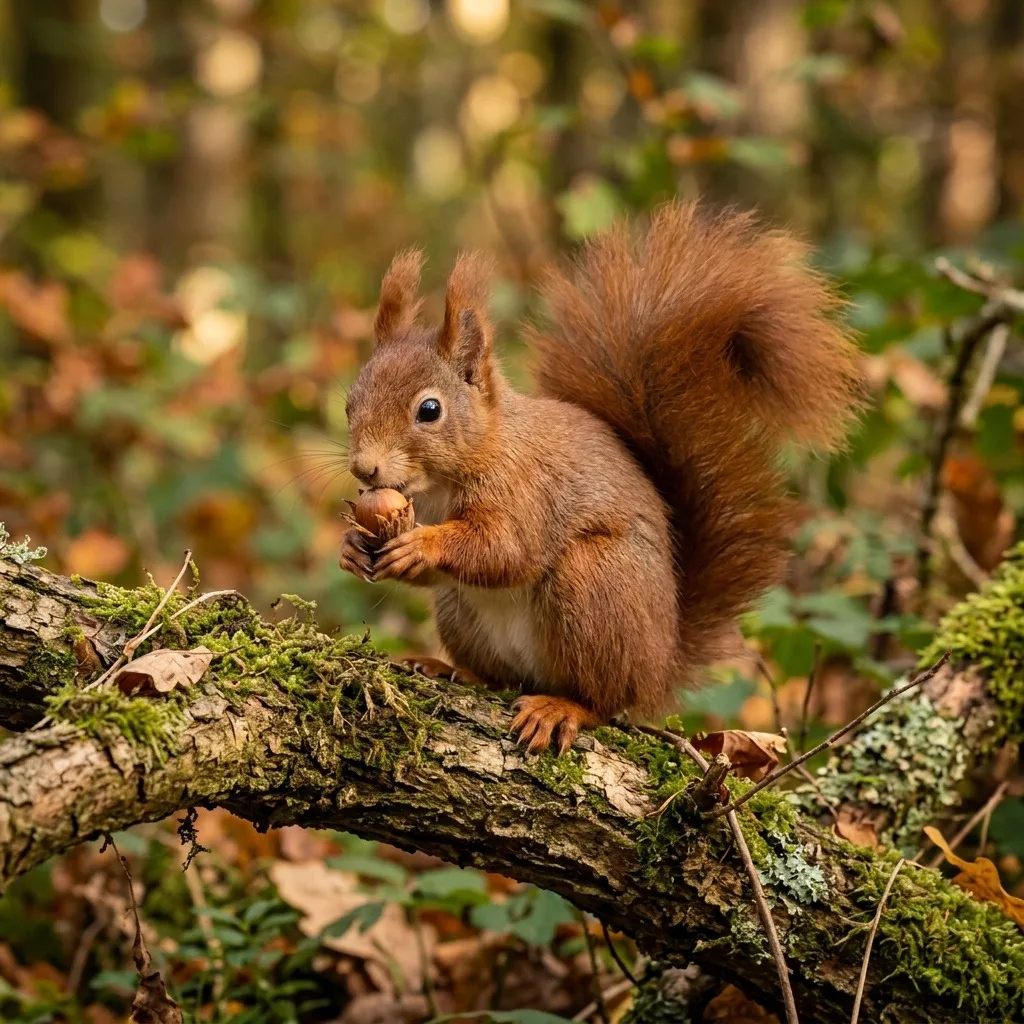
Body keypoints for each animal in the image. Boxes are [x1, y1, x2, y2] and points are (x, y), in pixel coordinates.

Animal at [339, 201, 863, 754]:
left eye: (430, 410)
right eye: (350, 402)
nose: (364, 468)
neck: (442, 482)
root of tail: (661, 665)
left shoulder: (527, 490)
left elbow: (507, 549)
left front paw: (423, 544)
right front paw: (351, 548)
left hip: (594, 586)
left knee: (605, 701)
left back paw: (561, 707)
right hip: (462, 614)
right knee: (502, 677)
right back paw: (449, 669)